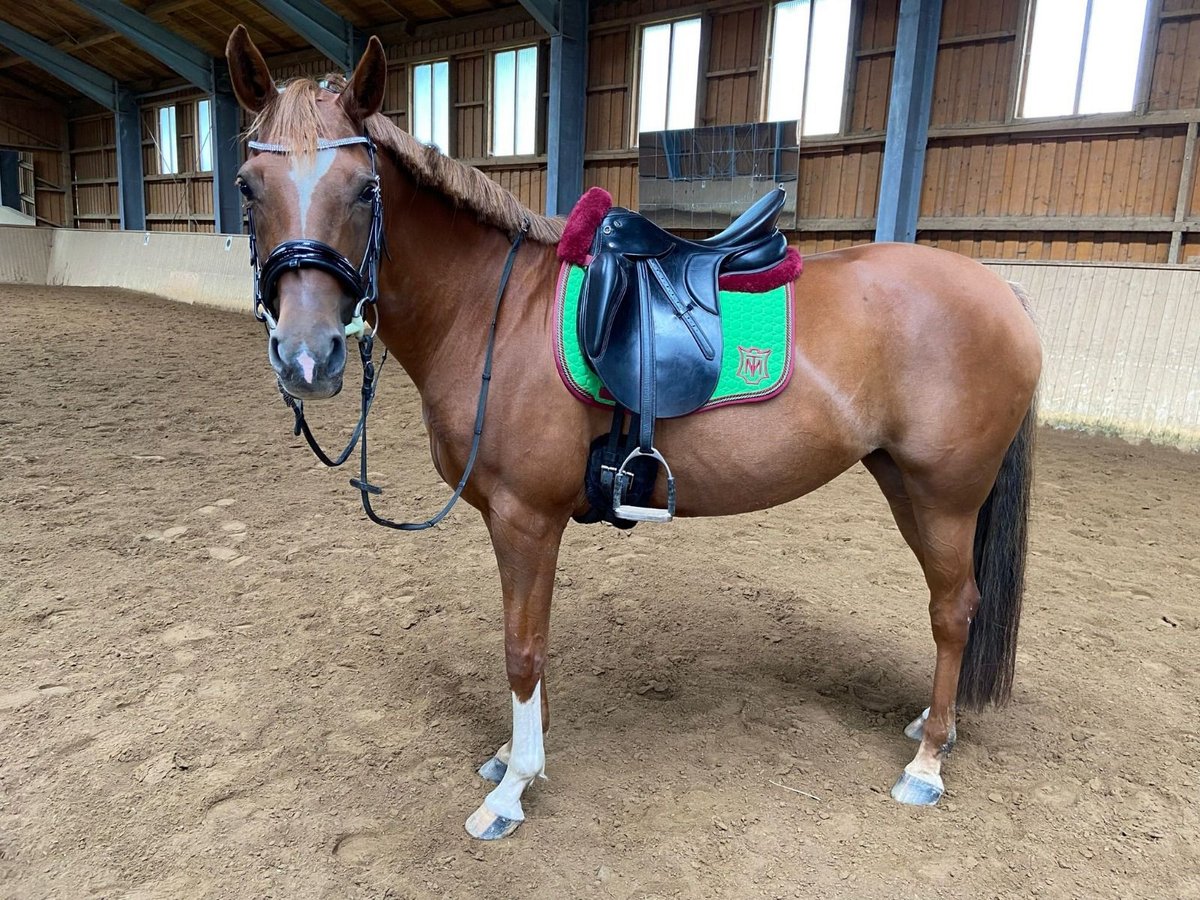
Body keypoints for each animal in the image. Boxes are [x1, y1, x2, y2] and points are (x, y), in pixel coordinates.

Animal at [225, 30, 1041, 844]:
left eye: (366, 189)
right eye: (247, 187)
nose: (308, 356)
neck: (493, 311)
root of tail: (1000, 288)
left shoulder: (527, 519)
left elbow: (522, 649)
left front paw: (514, 788)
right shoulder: (511, 518)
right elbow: (528, 641)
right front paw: (513, 756)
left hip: (945, 495)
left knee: (953, 609)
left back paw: (928, 762)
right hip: (900, 480)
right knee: (952, 606)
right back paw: (932, 728)